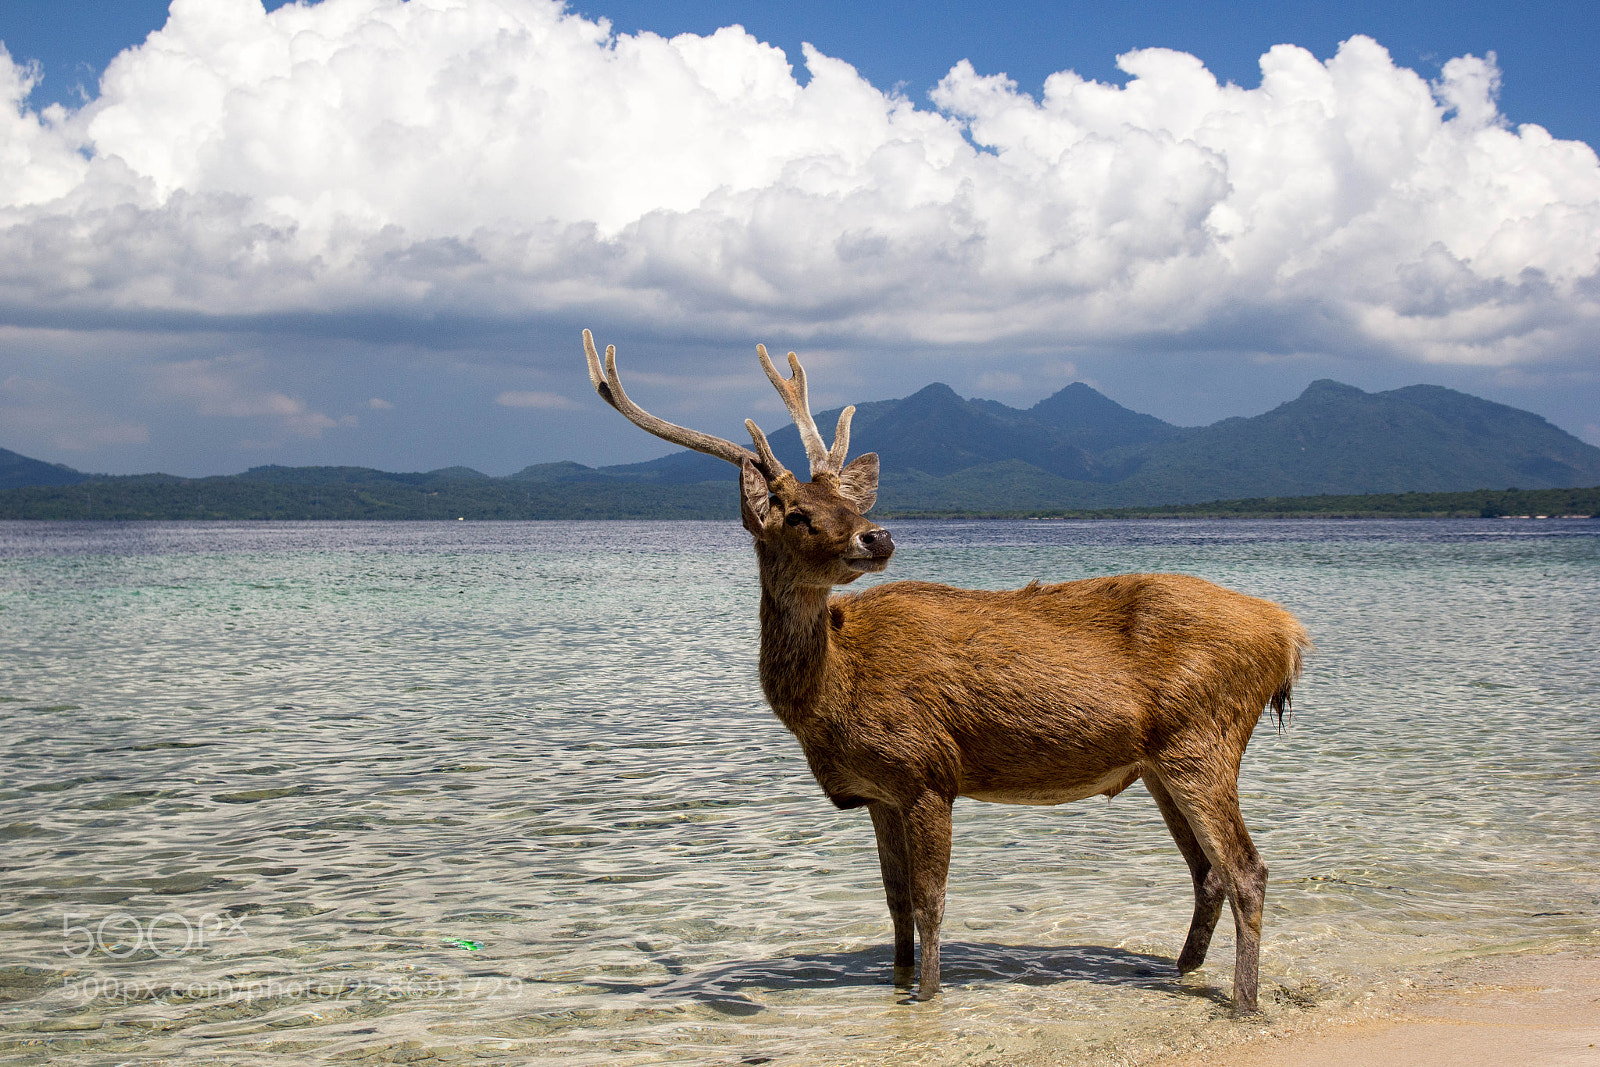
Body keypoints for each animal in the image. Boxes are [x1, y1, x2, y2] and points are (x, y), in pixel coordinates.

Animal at [582, 329, 1310, 1011]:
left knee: (1247, 869)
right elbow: (895, 900)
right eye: (798, 514)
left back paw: (1243, 1002)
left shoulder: (928, 770)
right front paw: (897, 982)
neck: (831, 698)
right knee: (1207, 872)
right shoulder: (877, 792)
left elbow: (932, 902)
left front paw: (928, 996)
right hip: (1161, 762)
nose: (876, 535)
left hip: (1203, 738)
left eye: (851, 503)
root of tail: (1289, 634)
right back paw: (1177, 973)